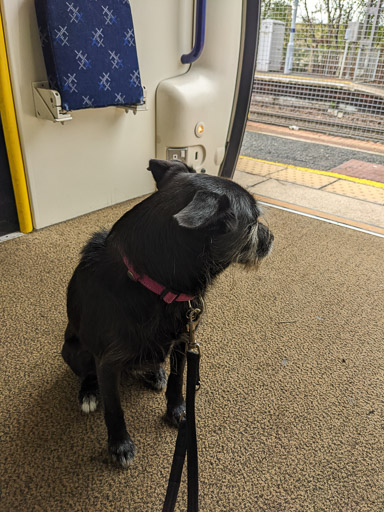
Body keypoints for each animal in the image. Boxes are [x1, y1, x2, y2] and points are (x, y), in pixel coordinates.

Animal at [62, 160, 272, 468]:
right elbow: (114, 409)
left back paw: (154, 373)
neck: (153, 283)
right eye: (254, 222)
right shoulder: (107, 363)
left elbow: (177, 381)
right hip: (73, 351)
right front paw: (120, 445)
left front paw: (178, 410)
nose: (272, 239)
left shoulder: (183, 343)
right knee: (87, 372)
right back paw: (89, 391)